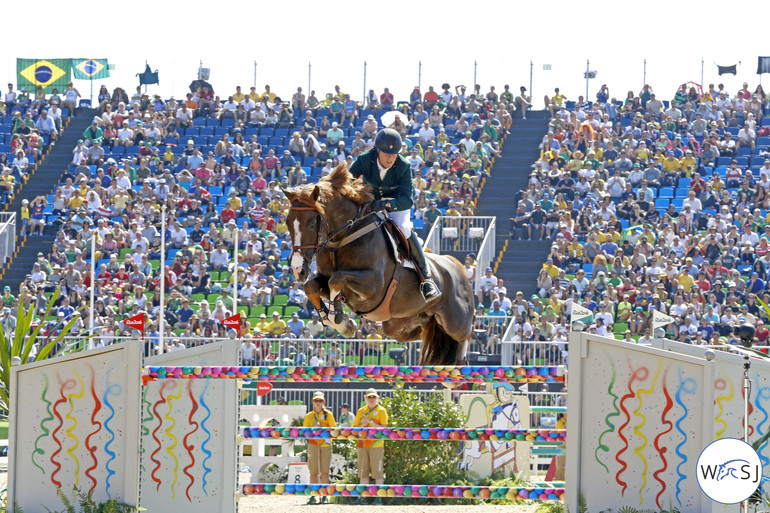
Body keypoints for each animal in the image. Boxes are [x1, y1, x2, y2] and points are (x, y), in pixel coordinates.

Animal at [282, 164, 474, 364]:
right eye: (287, 222)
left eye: (312, 223)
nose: (297, 269)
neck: (344, 238)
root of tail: (457, 264)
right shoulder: (328, 281)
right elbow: (311, 286)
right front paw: (341, 323)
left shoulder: (374, 287)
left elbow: (337, 279)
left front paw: (337, 318)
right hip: (400, 324)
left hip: (456, 323)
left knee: (465, 335)